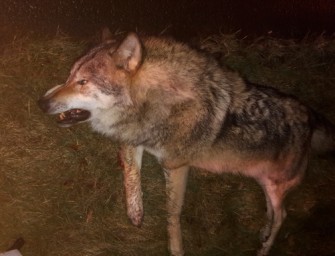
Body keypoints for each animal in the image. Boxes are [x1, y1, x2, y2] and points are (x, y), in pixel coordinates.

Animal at [38, 30, 334, 256]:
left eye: (83, 82)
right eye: (69, 76)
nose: (41, 102)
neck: (155, 100)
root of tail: (311, 116)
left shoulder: (176, 166)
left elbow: (173, 213)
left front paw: (175, 248)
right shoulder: (134, 137)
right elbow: (131, 176)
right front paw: (135, 213)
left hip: (275, 185)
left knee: (282, 214)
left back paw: (264, 247)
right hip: (262, 180)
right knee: (274, 212)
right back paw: (263, 233)